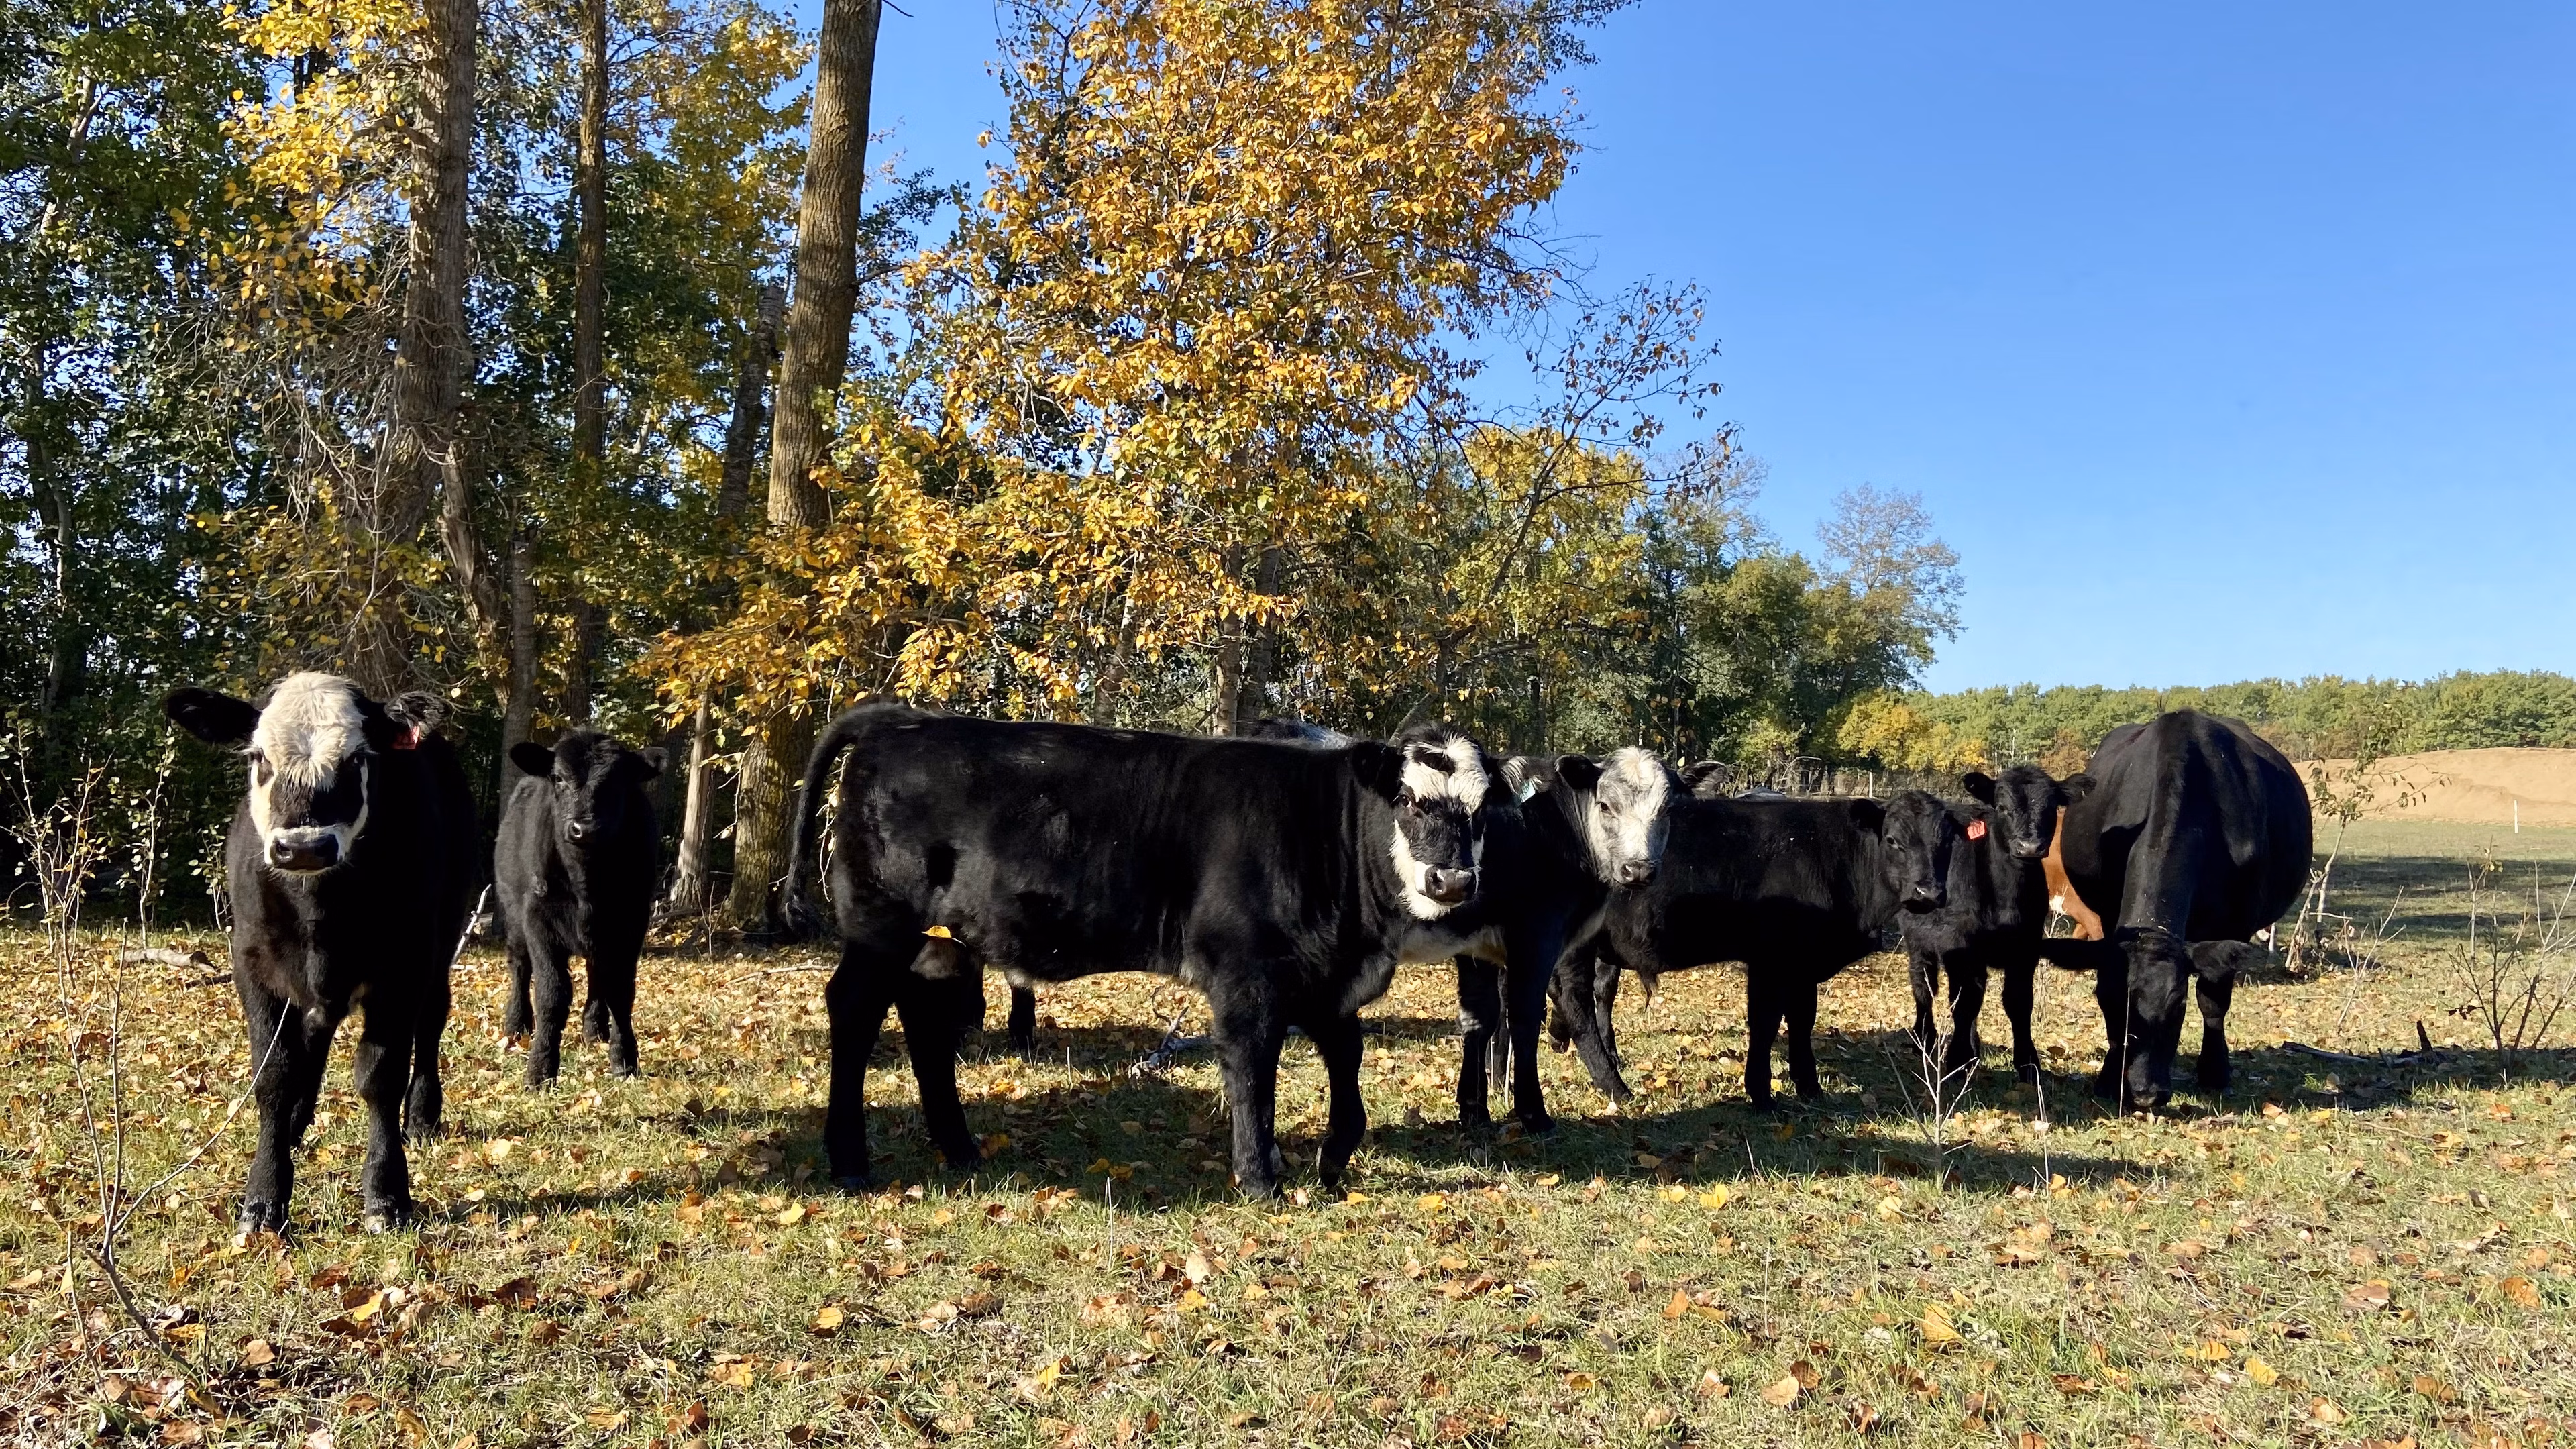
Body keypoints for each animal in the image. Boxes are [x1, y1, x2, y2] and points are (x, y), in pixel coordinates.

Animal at [163, 673, 476, 1233]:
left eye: (357, 759)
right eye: (258, 757)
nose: (305, 846)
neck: (319, 911)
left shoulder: (404, 967)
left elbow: (380, 1076)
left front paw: (386, 1195)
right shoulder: (253, 966)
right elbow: (274, 1075)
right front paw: (264, 1199)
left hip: (444, 938)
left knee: (432, 1022)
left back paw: (422, 1117)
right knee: (314, 1034)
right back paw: (293, 1125)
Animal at [495, 730, 666, 1087]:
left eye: (619, 782)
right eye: (558, 778)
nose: (585, 828)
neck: (587, 883)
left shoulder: (632, 922)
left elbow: (621, 991)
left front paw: (624, 1062)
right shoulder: (538, 919)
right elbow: (551, 994)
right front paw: (540, 1070)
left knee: (596, 973)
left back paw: (595, 1029)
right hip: (513, 916)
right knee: (519, 966)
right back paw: (517, 1026)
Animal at [783, 704, 1508, 1197]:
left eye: (1481, 813)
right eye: (1408, 799)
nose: (1453, 882)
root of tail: (903, 720)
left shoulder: (1320, 979)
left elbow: (1347, 1063)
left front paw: (1330, 1163)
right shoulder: (1246, 975)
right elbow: (1252, 1071)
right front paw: (1259, 1177)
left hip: (937, 943)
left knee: (924, 1022)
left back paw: (959, 1147)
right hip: (879, 923)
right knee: (854, 1009)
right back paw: (849, 1161)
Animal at [1551, 790, 1955, 1109]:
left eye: (1947, 843)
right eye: (1893, 840)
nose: (1929, 892)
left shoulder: (1803, 965)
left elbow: (1802, 1020)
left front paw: (1810, 1088)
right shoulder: (1770, 961)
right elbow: (1766, 1022)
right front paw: (1761, 1094)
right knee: (1576, 1003)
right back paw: (1615, 1087)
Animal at [2052, 710, 2311, 1108]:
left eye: (2177, 1003)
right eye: (2109, 1004)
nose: (2145, 1094)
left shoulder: (2235, 926)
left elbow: (2214, 1001)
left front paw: (2215, 1072)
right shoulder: (2109, 915)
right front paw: (2109, 1078)